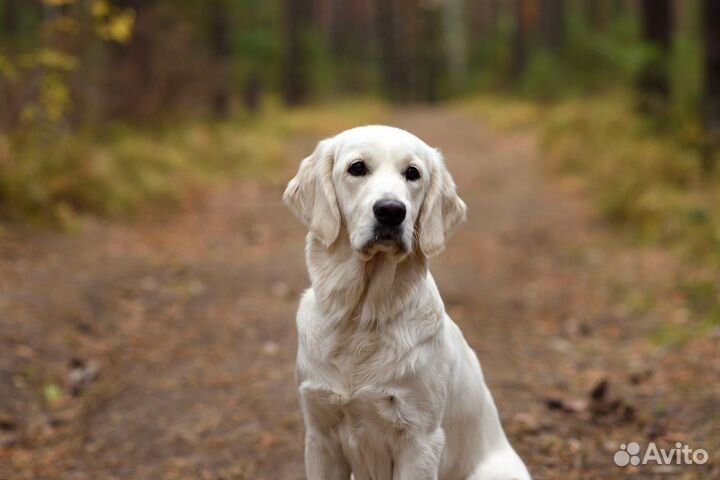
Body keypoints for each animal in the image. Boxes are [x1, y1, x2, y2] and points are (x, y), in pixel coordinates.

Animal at [284, 125, 532, 478]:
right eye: (357, 168)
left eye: (412, 173)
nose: (391, 210)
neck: (361, 317)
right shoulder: (320, 436)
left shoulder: (421, 440)